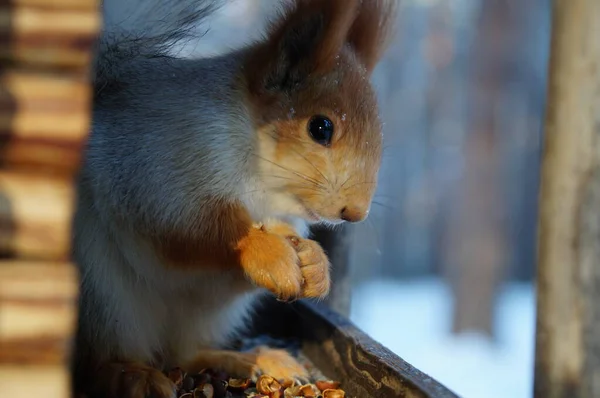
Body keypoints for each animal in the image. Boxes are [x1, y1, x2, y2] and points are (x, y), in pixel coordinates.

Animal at [72, 0, 396, 398]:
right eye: (320, 127)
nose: (355, 212)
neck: (264, 187)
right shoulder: (155, 168)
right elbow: (195, 230)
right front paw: (268, 254)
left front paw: (314, 263)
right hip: (102, 297)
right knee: (105, 359)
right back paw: (132, 375)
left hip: (207, 314)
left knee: (186, 354)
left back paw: (251, 360)